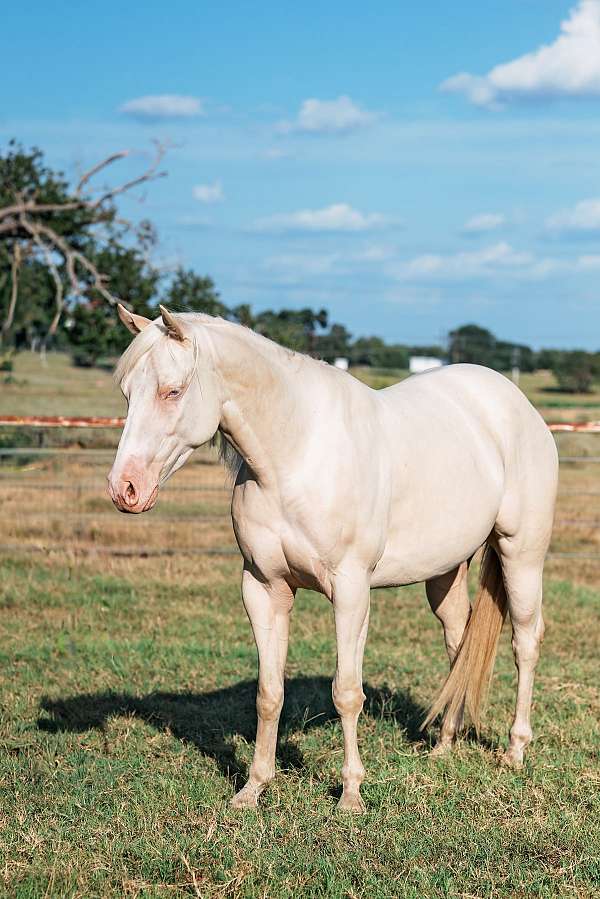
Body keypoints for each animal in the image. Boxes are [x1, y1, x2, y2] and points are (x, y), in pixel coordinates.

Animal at [108, 304, 558, 812]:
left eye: (173, 391)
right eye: (127, 393)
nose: (125, 490)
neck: (294, 455)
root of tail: (517, 404)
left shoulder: (349, 590)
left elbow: (346, 691)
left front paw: (351, 796)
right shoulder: (262, 588)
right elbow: (269, 693)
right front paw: (253, 788)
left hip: (521, 553)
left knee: (525, 641)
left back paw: (515, 751)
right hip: (445, 573)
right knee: (458, 644)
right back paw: (444, 744)